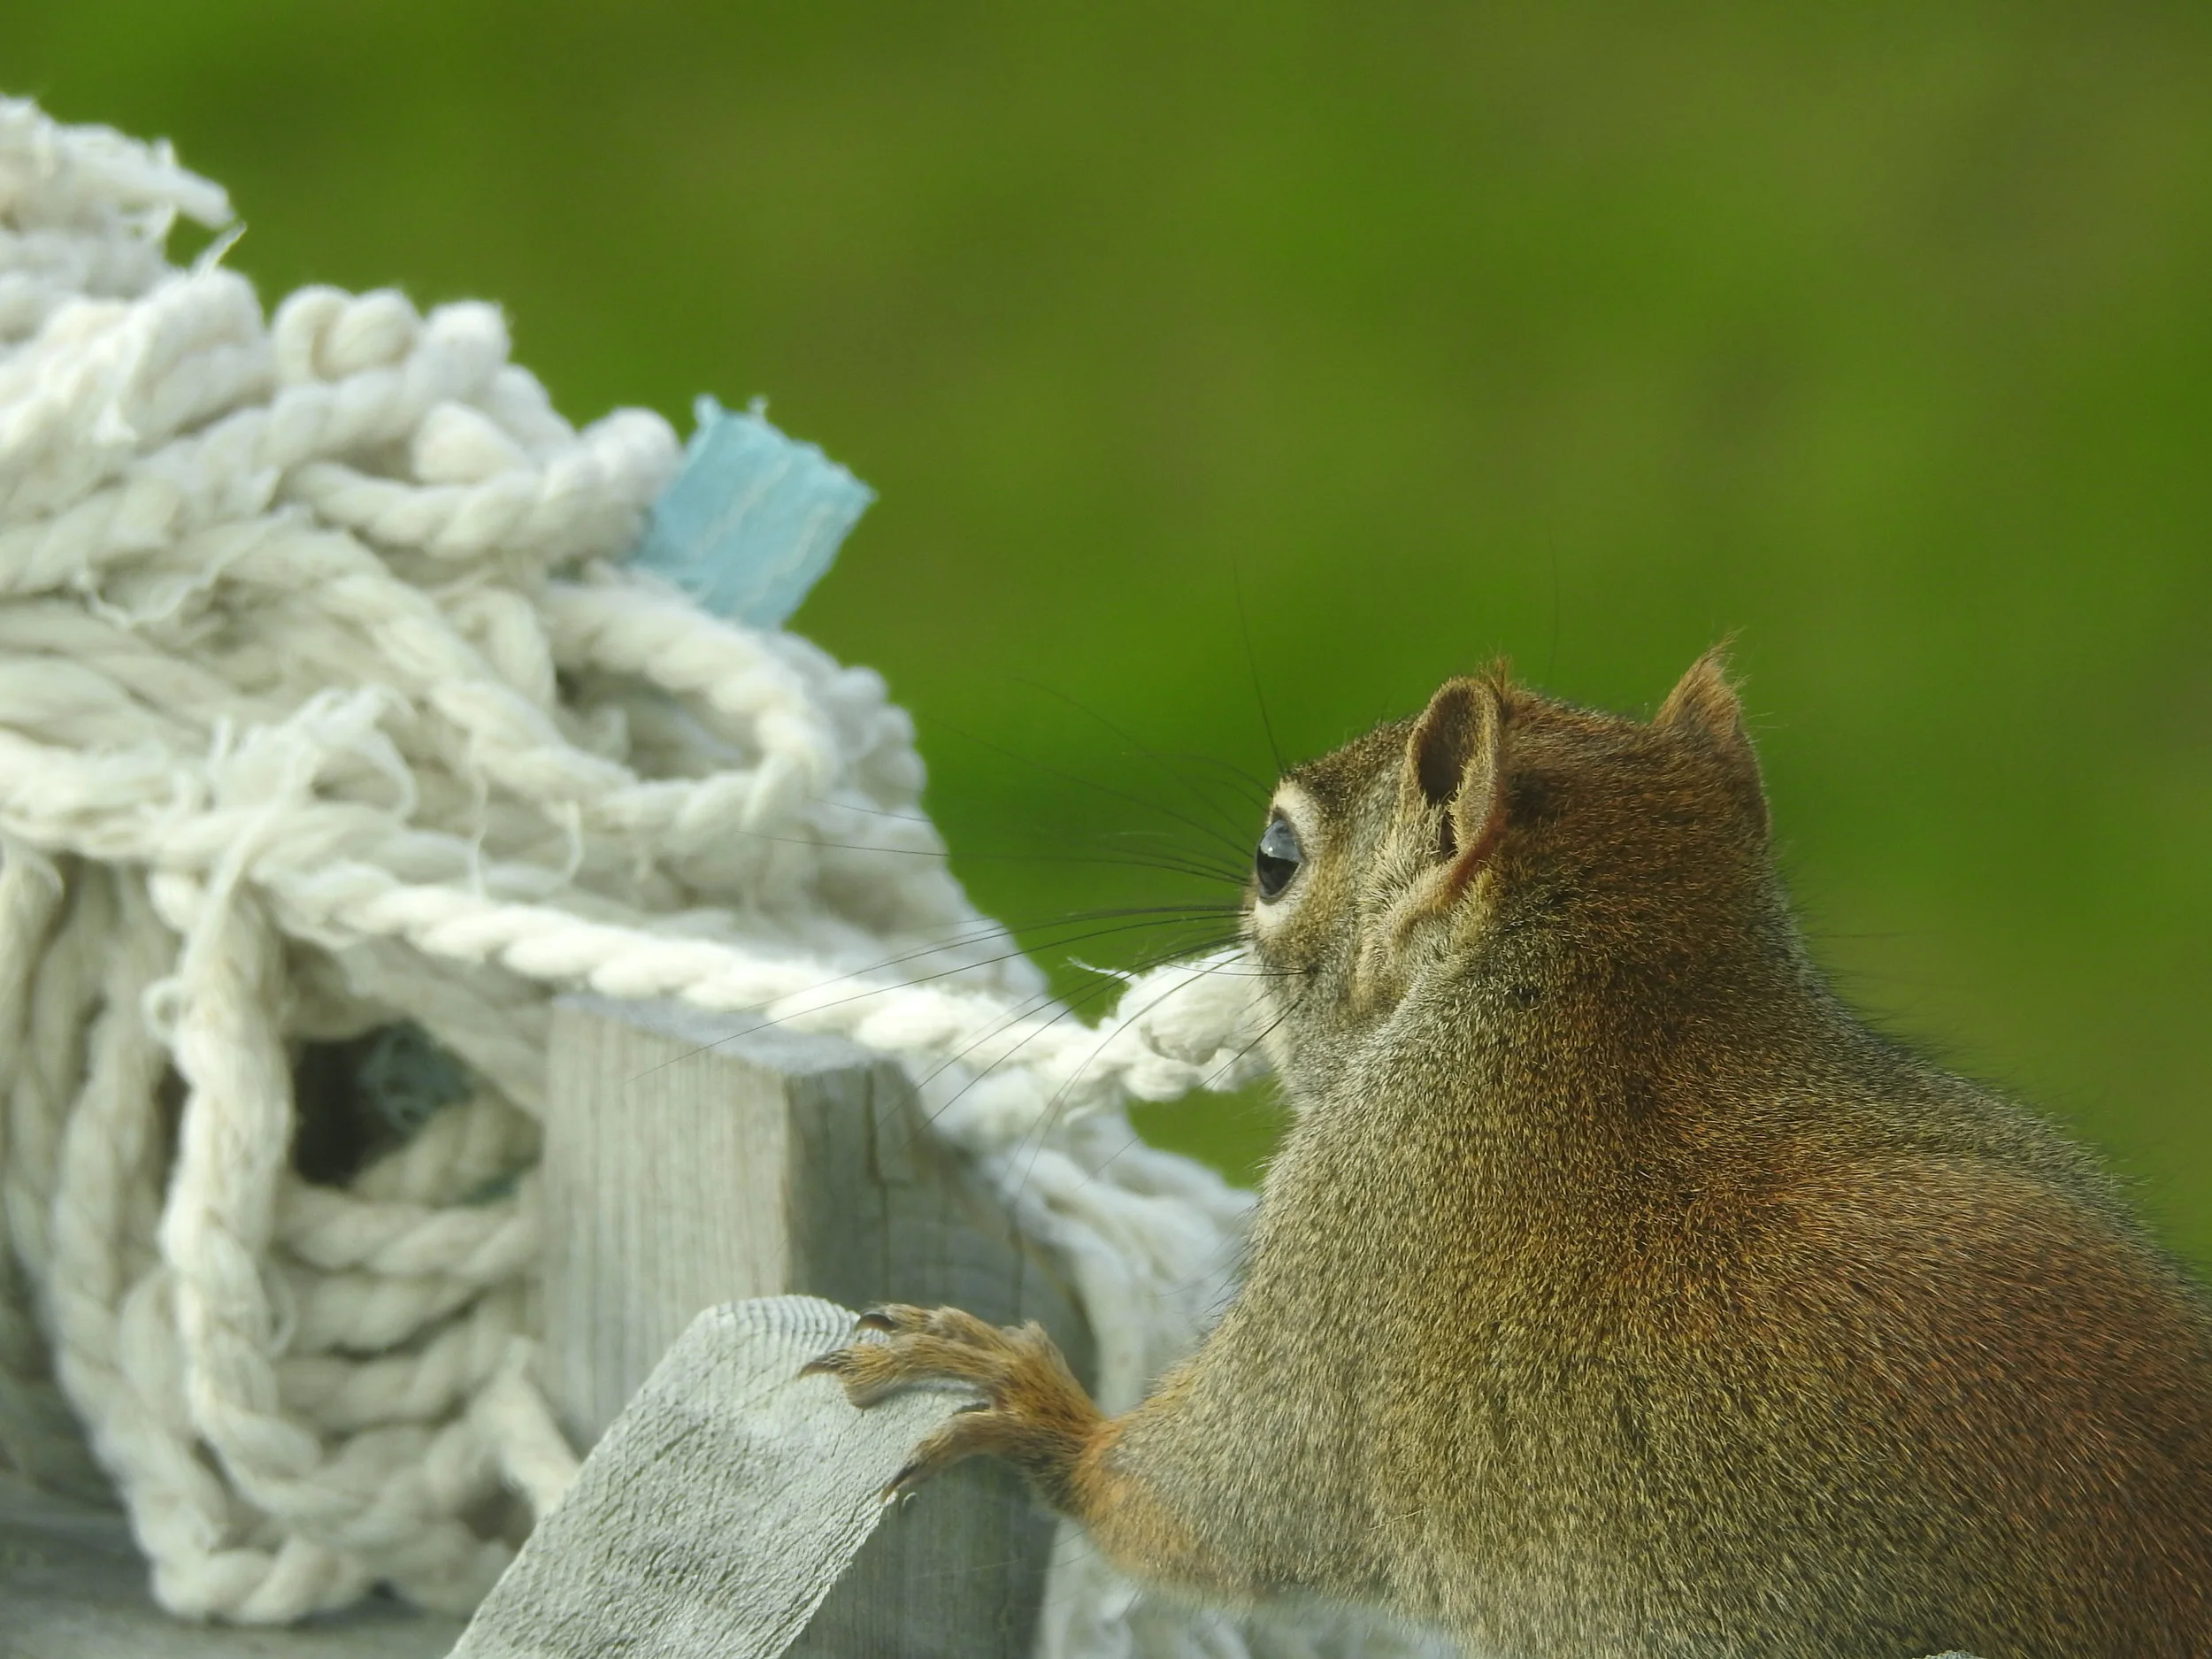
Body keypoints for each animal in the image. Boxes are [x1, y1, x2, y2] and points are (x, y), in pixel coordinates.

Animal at [804, 650, 2212, 1658]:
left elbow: (1223, 1494)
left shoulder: (1347, 1245)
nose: (1233, 897)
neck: (1620, 1015)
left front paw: (1033, 1400)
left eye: (1276, 856)